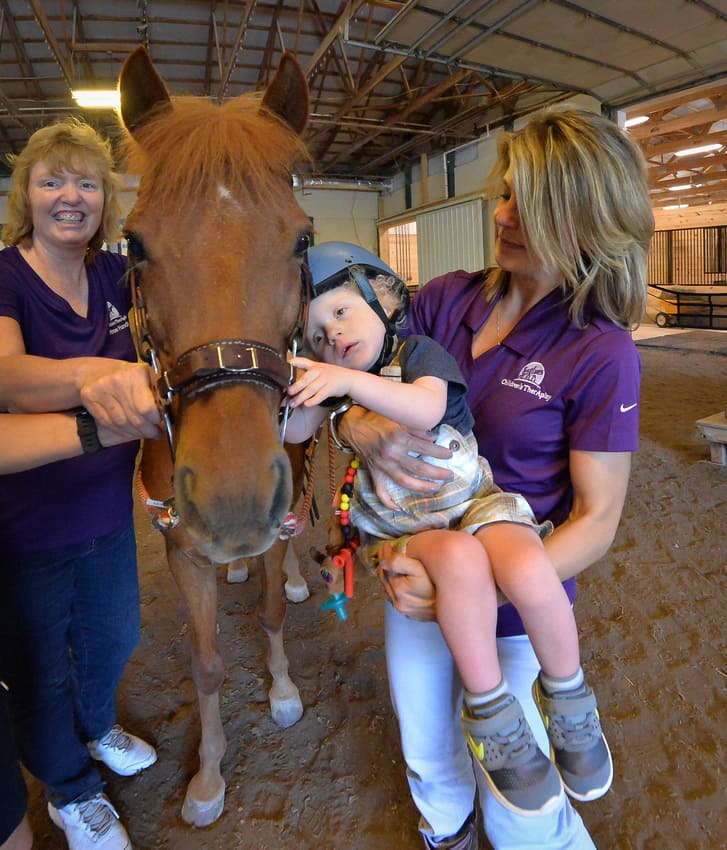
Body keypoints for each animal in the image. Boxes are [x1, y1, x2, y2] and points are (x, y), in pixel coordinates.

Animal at [118, 44, 312, 820]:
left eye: (302, 237)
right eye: (132, 244)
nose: (232, 506)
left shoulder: (278, 508)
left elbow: (270, 611)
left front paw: (282, 690)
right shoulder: (180, 548)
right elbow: (204, 664)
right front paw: (207, 775)